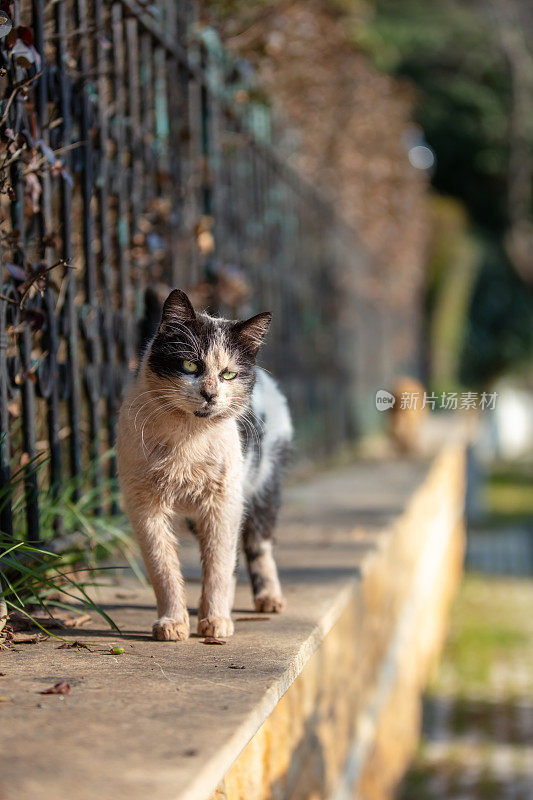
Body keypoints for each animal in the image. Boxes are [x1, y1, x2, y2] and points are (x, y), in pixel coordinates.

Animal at [116, 290, 290, 640]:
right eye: (190, 365)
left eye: (228, 374)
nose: (210, 393)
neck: (187, 437)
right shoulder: (143, 506)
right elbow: (162, 567)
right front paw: (172, 624)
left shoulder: (223, 502)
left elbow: (220, 565)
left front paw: (216, 621)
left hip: (263, 486)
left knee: (258, 544)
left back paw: (268, 598)